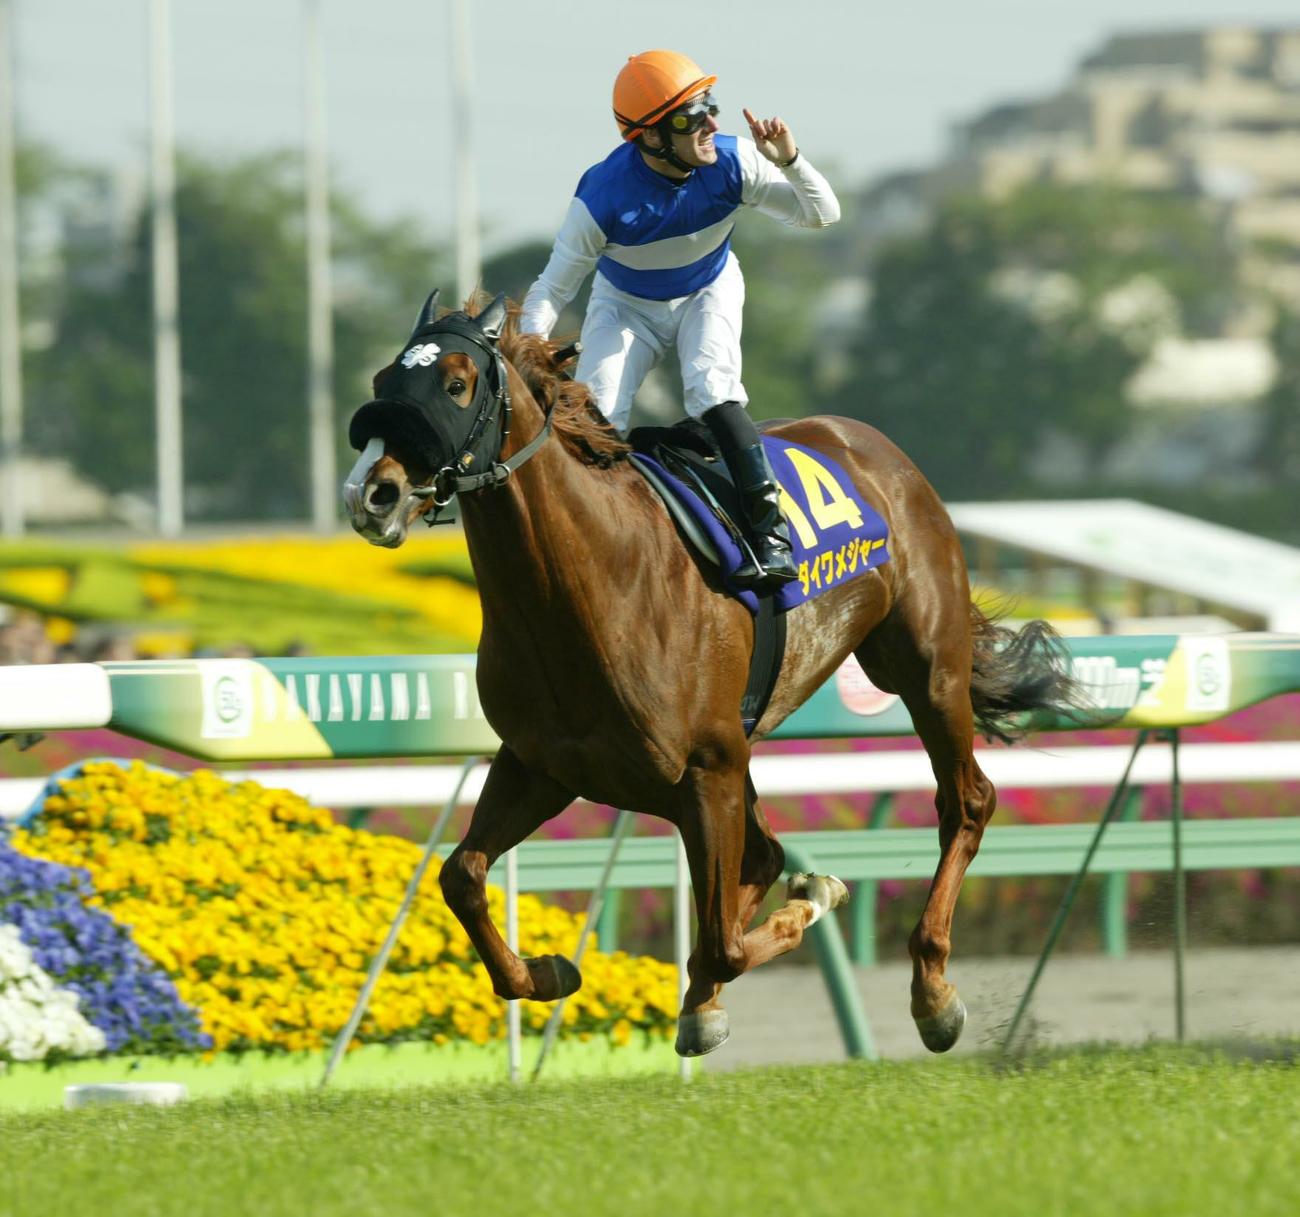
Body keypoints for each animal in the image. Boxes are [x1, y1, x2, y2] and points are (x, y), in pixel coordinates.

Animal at [343, 290, 1079, 1058]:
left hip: (925, 669)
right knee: (762, 856)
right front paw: (546, 971)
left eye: (456, 384)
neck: (589, 585)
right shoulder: (543, 763)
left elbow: (725, 939)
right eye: (384, 382)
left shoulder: (708, 766)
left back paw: (932, 991)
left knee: (964, 801)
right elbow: (461, 874)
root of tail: (875, 445)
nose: (374, 494)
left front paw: (810, 902)